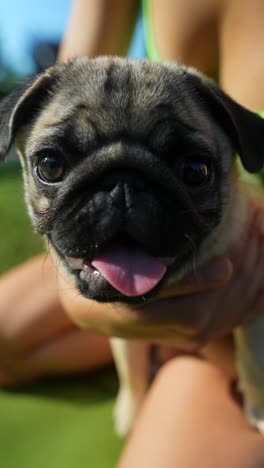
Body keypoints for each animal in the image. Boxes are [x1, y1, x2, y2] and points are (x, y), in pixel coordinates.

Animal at [0, 56, 264, 436]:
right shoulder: (124, 334)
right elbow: (131, 369)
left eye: (195, 170)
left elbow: (254, 353)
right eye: (50, 165)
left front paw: (259, 408)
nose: (122, 182)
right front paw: (133, 411)